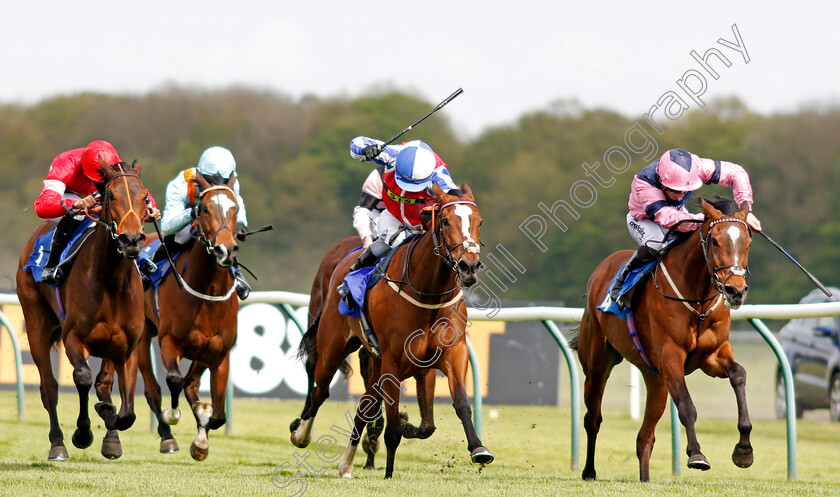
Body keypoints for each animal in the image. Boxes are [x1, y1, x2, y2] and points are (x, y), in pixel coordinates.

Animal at [16, 158, 151, 458]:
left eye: (145, 197)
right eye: (111, 196)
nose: (131, 240)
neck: (112, 283)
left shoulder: (128, 347)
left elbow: (126, 411)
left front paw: (109, 418)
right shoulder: (73, 337)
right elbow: (82, 377)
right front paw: (83, 432)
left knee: (103, 384)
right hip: (36, 322)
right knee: (49, 387)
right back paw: (58, 444)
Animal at [139, 172, 241, 460]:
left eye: (236, 209)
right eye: (204, 209)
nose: (225, 250)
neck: (206, 293)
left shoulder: (219, 352)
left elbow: (218, 415)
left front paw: (202, 437)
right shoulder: (168, 340)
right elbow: (174, 379)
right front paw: (172, 414)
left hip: (202, 350)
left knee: (192, 383)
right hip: (141, 333)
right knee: (155, 387)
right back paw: (167, 435)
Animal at [576, 197, 756, 480]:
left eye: (748, 242)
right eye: (715, 241)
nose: (735, 290)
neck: (698, 299)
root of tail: (602, 268)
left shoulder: (712, 356)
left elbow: (739, 375)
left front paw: (744, 449)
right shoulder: (671, 355)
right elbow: (686, 406)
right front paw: (696, 454)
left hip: (655, 378)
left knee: (644, 437)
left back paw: (644, 478)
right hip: (597, 364)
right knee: (593, 418)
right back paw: (589, 471)